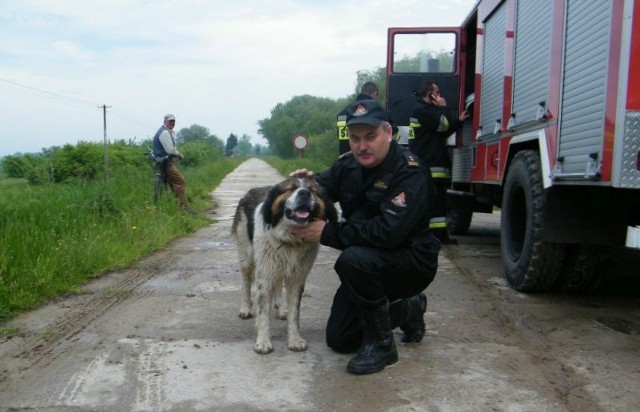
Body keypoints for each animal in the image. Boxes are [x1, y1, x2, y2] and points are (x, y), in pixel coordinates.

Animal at [231, 177, 340, 354]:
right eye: (291, 188)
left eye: (313, 190)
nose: (304, 193)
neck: (290, 239)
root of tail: (252, 190)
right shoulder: (265, 274)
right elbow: (263, 311)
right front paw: (263, 341)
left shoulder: (297, 277)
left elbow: (294, 313)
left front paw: (295, 340)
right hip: (247, 254)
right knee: (246, 282)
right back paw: (246, 308)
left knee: (277, 287)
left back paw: (281, 308)